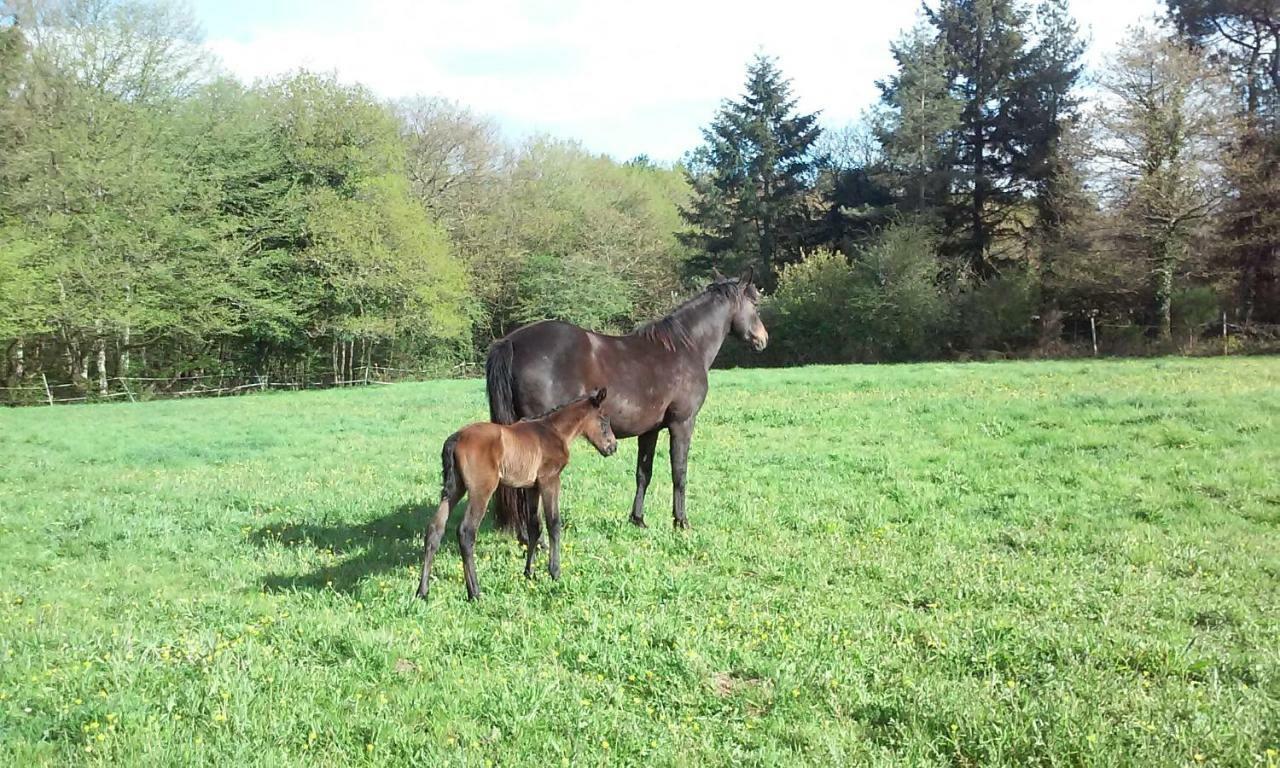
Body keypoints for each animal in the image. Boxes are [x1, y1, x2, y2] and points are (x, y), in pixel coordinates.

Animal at [417, 389, 616, 599]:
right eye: (604, 420)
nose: (613, 447)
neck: (553, 431)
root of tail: (456, 438)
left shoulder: (532, 487)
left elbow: (534, 526)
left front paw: (529, 572)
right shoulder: (550, 480)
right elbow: (553, 523)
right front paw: (554, 572)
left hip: (455, 489)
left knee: (435, 529)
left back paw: (422, 591)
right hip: (481, 490)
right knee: (466, 531)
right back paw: (475, 592)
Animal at [483, 268, 762, 535]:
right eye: (755, 303)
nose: (763, 338)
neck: (685, 348)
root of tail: (511, 341)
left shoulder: (649, 431)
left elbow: (644, 473)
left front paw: (638, 519)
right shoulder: (682, 424)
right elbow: (679, 473)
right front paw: (681, 522)